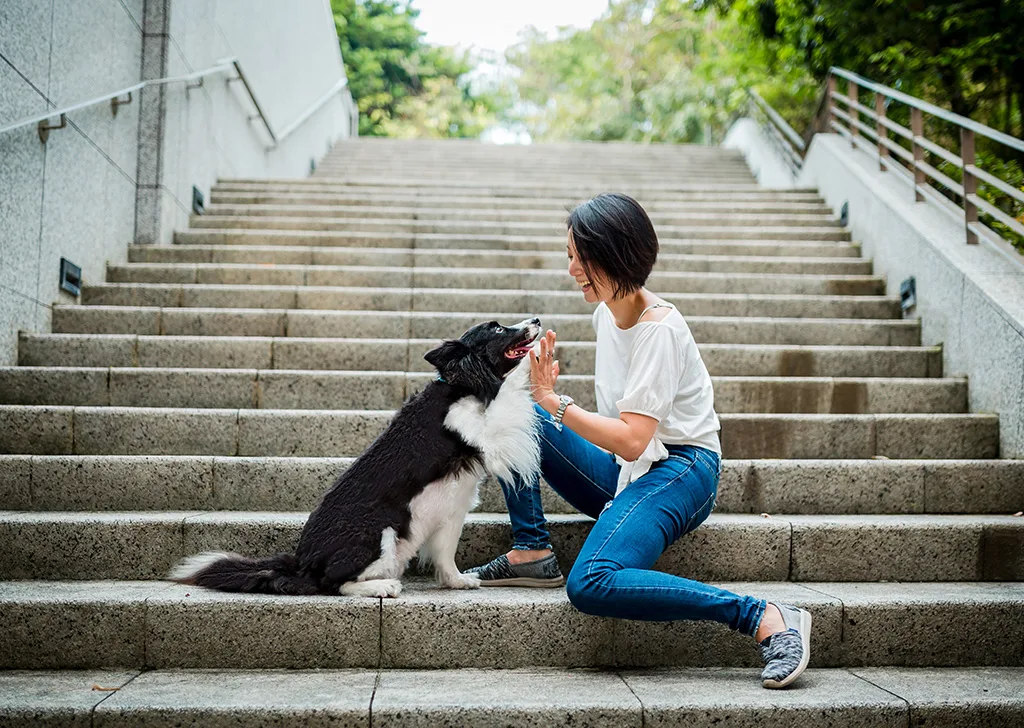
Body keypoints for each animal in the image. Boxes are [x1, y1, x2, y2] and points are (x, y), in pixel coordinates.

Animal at [167, 317, 544, 597]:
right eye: (498, 329)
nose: (536, 320)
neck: (462, 387)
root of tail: (302, 564)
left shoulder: (452, 510)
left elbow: (446, 554)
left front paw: (457, 581)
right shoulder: (484, 434)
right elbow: (510, 396)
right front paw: (536, 366)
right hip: (379, 533)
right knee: (333, 584)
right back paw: (383, 587)